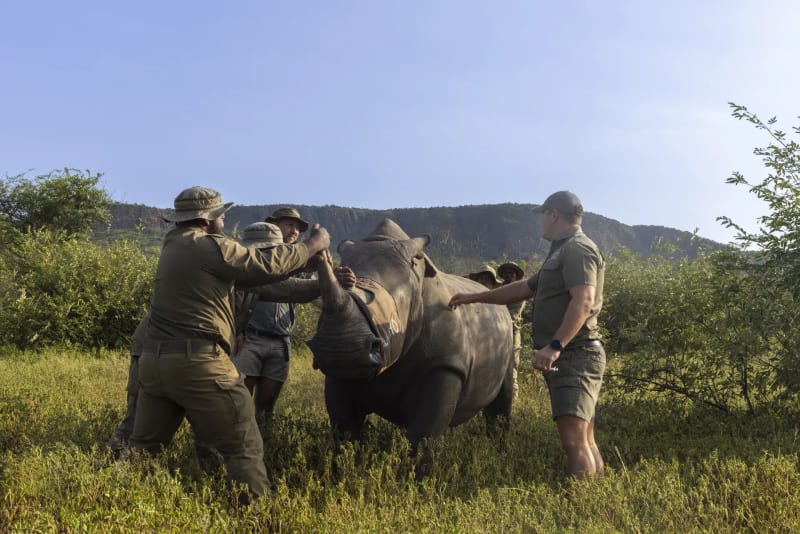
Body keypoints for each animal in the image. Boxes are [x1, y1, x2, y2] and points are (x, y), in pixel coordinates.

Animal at [307, 219, 514, 446]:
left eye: (390, 309)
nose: (339, 348)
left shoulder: (445, 364)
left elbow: (424, 434)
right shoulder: (340, 371)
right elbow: (344, 427)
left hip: (508, 331)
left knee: (503, 397)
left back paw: (499, 445)